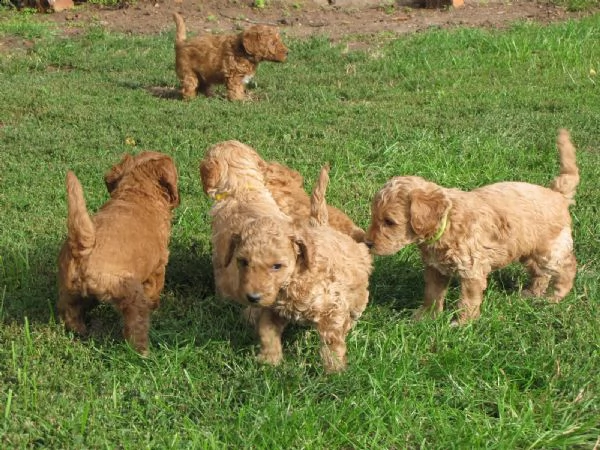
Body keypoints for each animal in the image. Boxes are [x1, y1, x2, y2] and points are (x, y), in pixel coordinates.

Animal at [58, 152, 180, 356]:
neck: (136, 192)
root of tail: (84, 247)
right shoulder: (158, 267)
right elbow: (155, 289)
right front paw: (155, 306)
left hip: (70, 290)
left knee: (71, 311)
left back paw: (80, 330)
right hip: (130, 292)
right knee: (136, 324)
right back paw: (143, 352)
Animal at [225, 166, 372, 372]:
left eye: (277, 266)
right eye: (243, 261)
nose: (253, 298)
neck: (294, 278)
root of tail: (322, 225)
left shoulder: (332, 307)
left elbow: (332, 341)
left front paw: (334, 370)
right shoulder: (274, 309)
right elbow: (267, 331)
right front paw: (270, 360)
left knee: (358, 304)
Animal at [364, 129, 580, 324]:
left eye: (389, 222)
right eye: (374, 217)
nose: (367, 243)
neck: (447, 222)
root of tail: (557, 194)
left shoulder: (472, 270)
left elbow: (467, 301)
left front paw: (462, 324)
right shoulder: (435, 269)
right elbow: (432, 294)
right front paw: (426, 317)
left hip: (550, 251)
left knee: (568, 266)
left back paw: (556, 296)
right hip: (528, 249)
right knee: (540, 272)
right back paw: (532, 293)